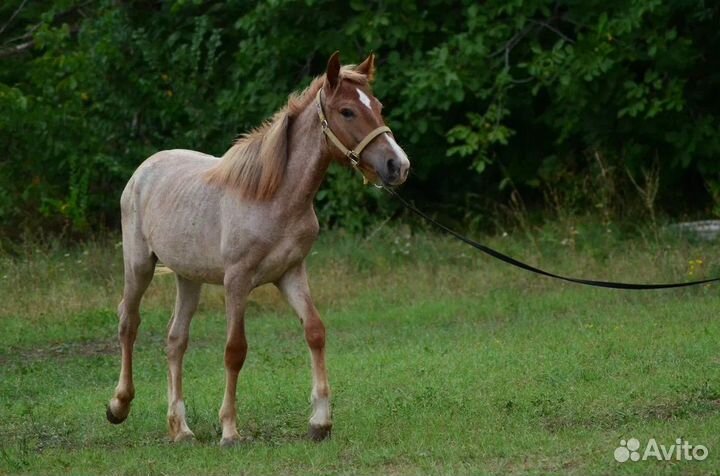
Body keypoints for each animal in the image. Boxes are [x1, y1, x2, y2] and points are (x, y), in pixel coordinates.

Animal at [106, 52, 410, 446]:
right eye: (347, 111)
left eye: (378, 106)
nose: (398, 165)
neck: (273, 196)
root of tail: (144, 169)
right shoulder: (237, 281)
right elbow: (235, 350)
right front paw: (230, 430)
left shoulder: (291, 272)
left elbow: (315, 331)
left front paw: (320, 422)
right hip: (139, 265)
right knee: (129, 322)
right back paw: (119, 406)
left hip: (189, 278)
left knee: (175, 339)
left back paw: (181, 428)